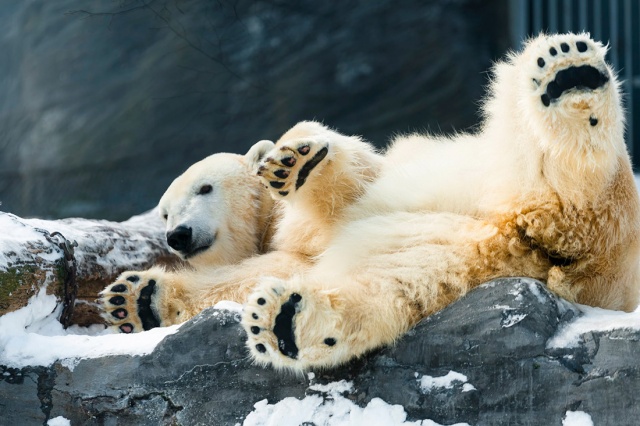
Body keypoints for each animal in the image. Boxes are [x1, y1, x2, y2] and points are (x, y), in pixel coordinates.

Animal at [99, 33, 640, 372]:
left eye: (204, 188)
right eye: (164, 212)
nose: (177, 235)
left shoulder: (359, 187)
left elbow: (356, 178)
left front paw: (295, 161)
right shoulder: (289, 253)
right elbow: (244, 279)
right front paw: (135, 298)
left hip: (537, 176)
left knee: (572, 167)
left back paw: (572, 78)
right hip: (468, 250)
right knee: (392, 286)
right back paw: (289, 322)